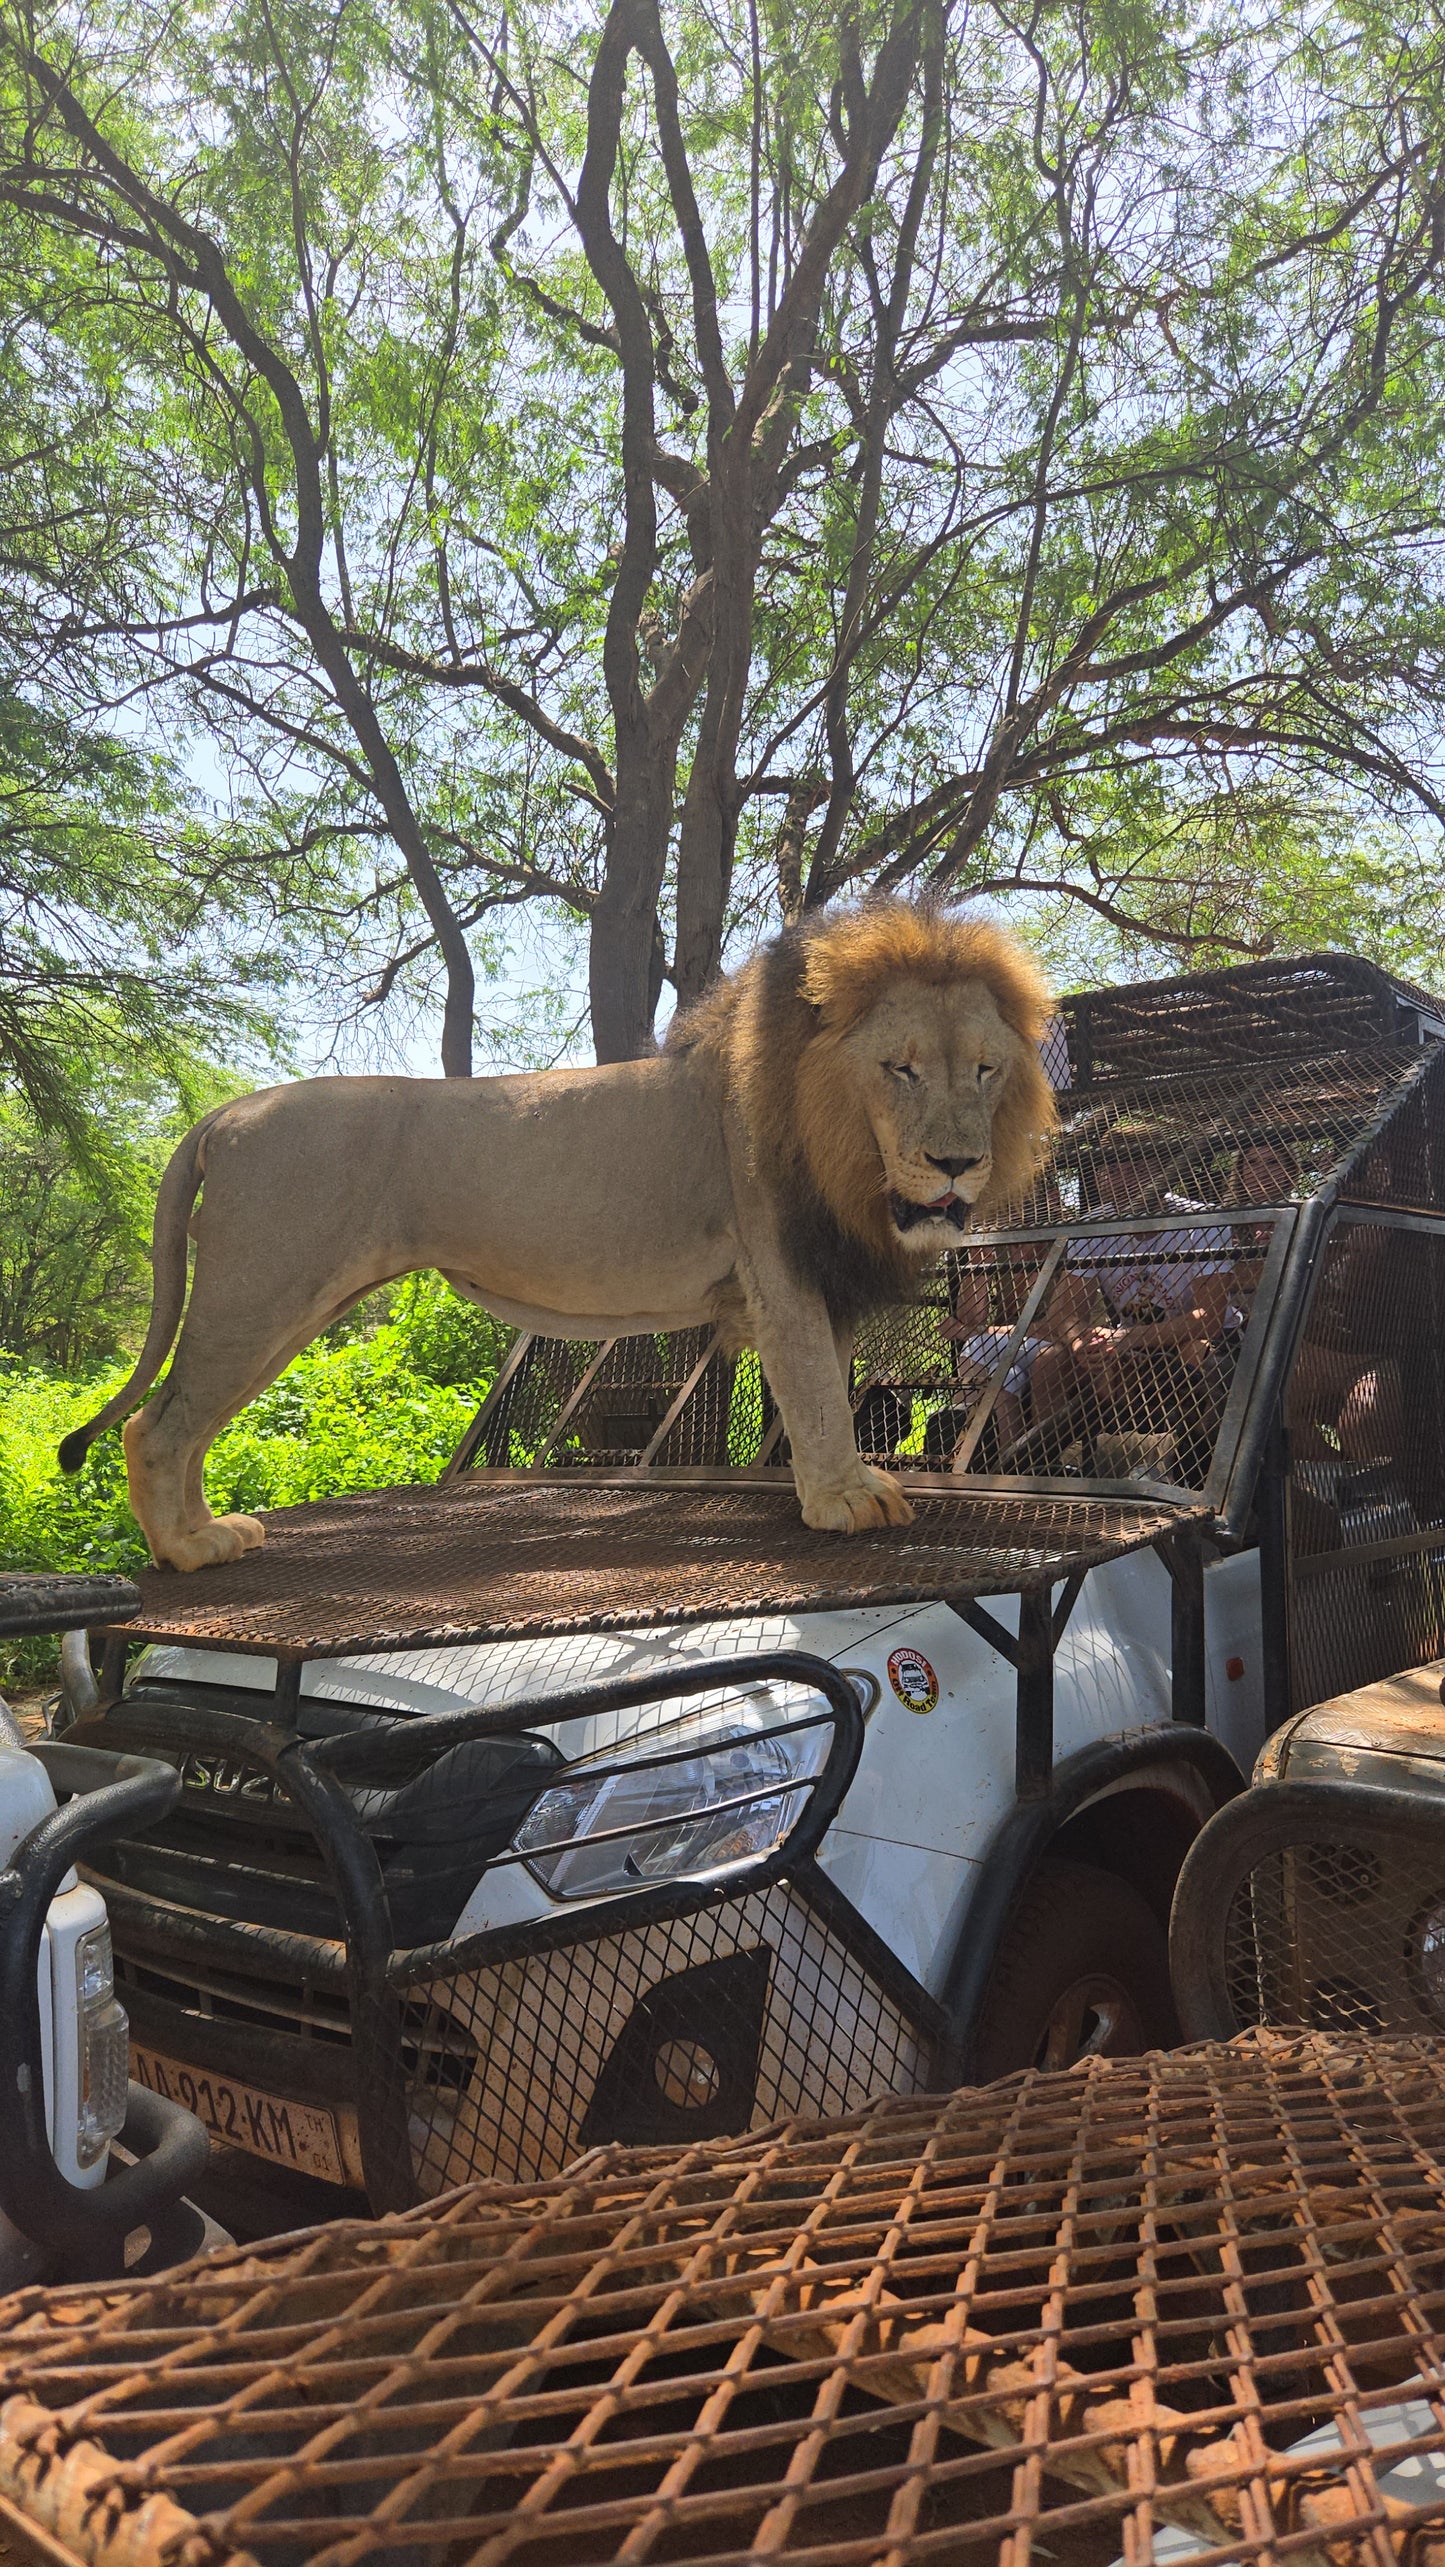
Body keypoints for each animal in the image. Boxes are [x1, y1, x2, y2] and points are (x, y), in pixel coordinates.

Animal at [59, 902, 1056, 1570]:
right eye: (900, 1069)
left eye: (984, 1069)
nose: (957, 1164)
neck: (841, 1139)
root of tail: (224, 1113)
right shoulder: (782, 1271)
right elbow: (814, 1390)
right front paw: (845, 1499)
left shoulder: (824, 1270)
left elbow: (826, 1388)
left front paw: (839, 1488)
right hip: (261, 1291)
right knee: (157, 1424)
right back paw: (190, 1547)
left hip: (282, 1302)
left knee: (183, 1422)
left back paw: (204, 1535)